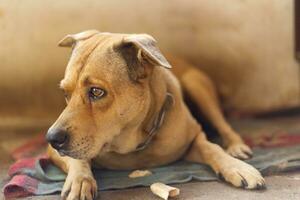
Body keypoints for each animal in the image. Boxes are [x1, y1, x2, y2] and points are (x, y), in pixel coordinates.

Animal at [47, 30, 264, 200]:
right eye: (65, 93)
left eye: (96, 92)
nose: (51, 138)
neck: (133, 143)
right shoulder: (53, 153)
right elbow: (77, 160)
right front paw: (80, 180)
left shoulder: (193, 139)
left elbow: (212, 148)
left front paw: (237, 167)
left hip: (198, 86)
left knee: (224, 125)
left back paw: (236, 147)